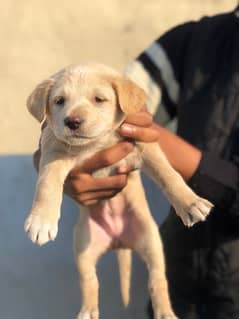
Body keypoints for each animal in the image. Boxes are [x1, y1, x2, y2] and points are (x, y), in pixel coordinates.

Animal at [25, 63, 214, 319]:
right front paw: (41, 222)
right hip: (83, 249)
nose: (72, 121)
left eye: (99, 99)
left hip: (153, 243)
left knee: (157, 281)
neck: (96, 144)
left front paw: (190, 203)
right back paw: (88, 311)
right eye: (59, 101)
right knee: (90, 281)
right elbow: (47, 184)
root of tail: (119, 241)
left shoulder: (143, 145)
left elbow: (167, 174)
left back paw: (165, 312)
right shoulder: (53, 151)